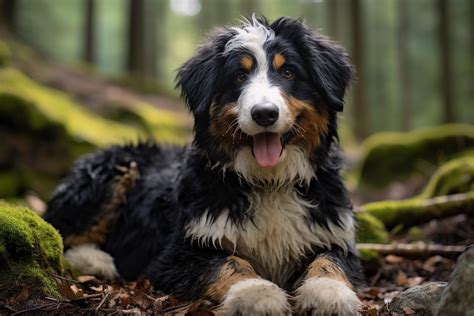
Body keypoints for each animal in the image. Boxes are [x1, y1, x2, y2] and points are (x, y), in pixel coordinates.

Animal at [44, 15, 362, 316]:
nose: (264, 114)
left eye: (288, 72)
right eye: (239, 76)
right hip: (110, 173)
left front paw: (329, 293)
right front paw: (256, 293)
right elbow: (230, 262)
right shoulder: (178, 253)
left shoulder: (334, 236)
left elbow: (329, 261)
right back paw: (95, 260)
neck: (268, 181)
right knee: (62, 232)